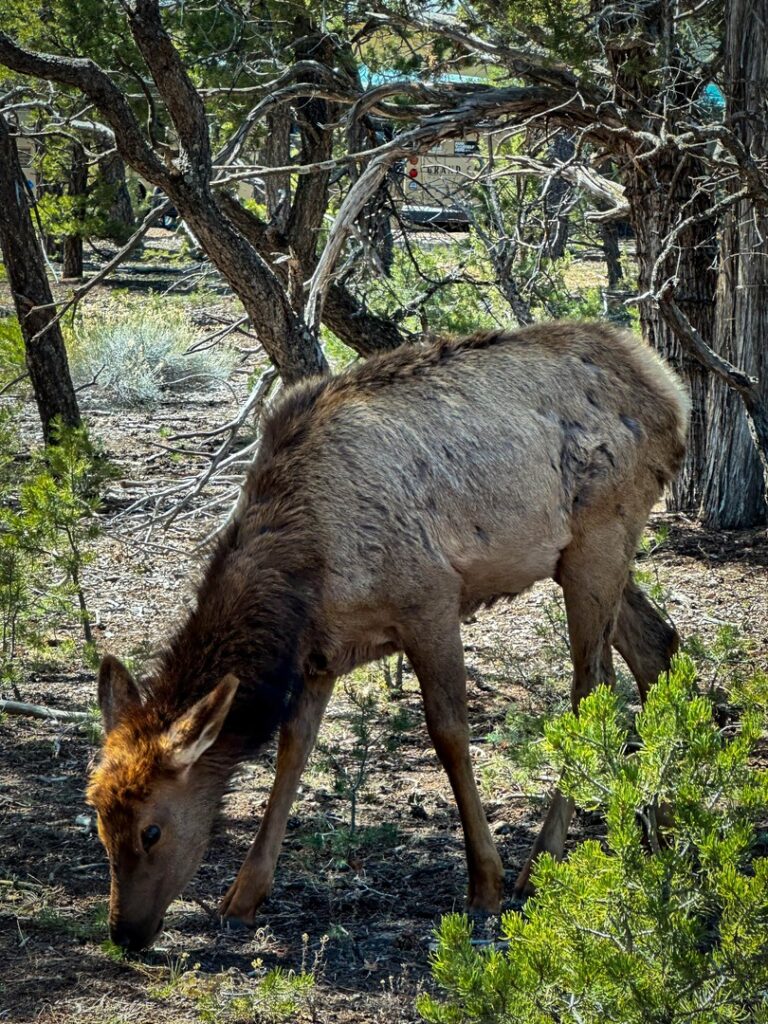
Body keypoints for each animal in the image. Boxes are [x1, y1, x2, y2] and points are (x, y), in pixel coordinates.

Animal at [87, 322, 687, 951]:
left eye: (152, 830)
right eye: (98, 818)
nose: (124, 932)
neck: (304, 572)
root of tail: (669, 389)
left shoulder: (432, 601)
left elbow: (449, 734)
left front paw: (486, 882)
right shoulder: (322, 653)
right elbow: (293, 750)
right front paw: (243, 896)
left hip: (600, 534)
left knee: (593, 686)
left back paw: (539, 861)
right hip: (579, 555)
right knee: (657, 645)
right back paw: (666, 821)